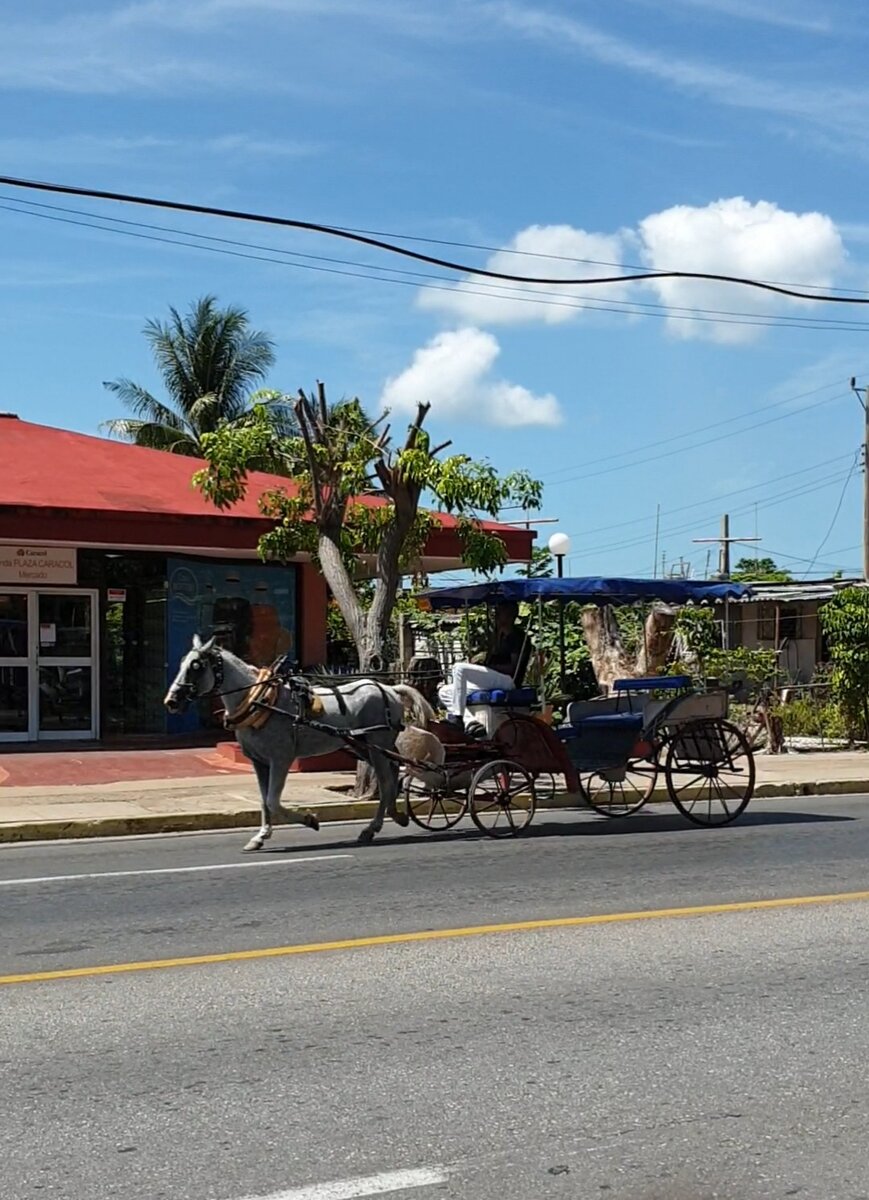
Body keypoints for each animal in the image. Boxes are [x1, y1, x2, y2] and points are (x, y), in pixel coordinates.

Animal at [164, 633, 434, 849]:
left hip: (377, 746)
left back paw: (372, 828)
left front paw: (310, 820)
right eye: (182, 663)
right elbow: (264, 801)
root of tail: (390, 689)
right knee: (393, 773)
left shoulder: (281, 759)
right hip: (364, 747)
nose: (172, 701)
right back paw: (396, 815)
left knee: (387, 782)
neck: (260, 702)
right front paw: (260, 836)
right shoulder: (259, 762)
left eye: (196, 666)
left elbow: (273, 801)